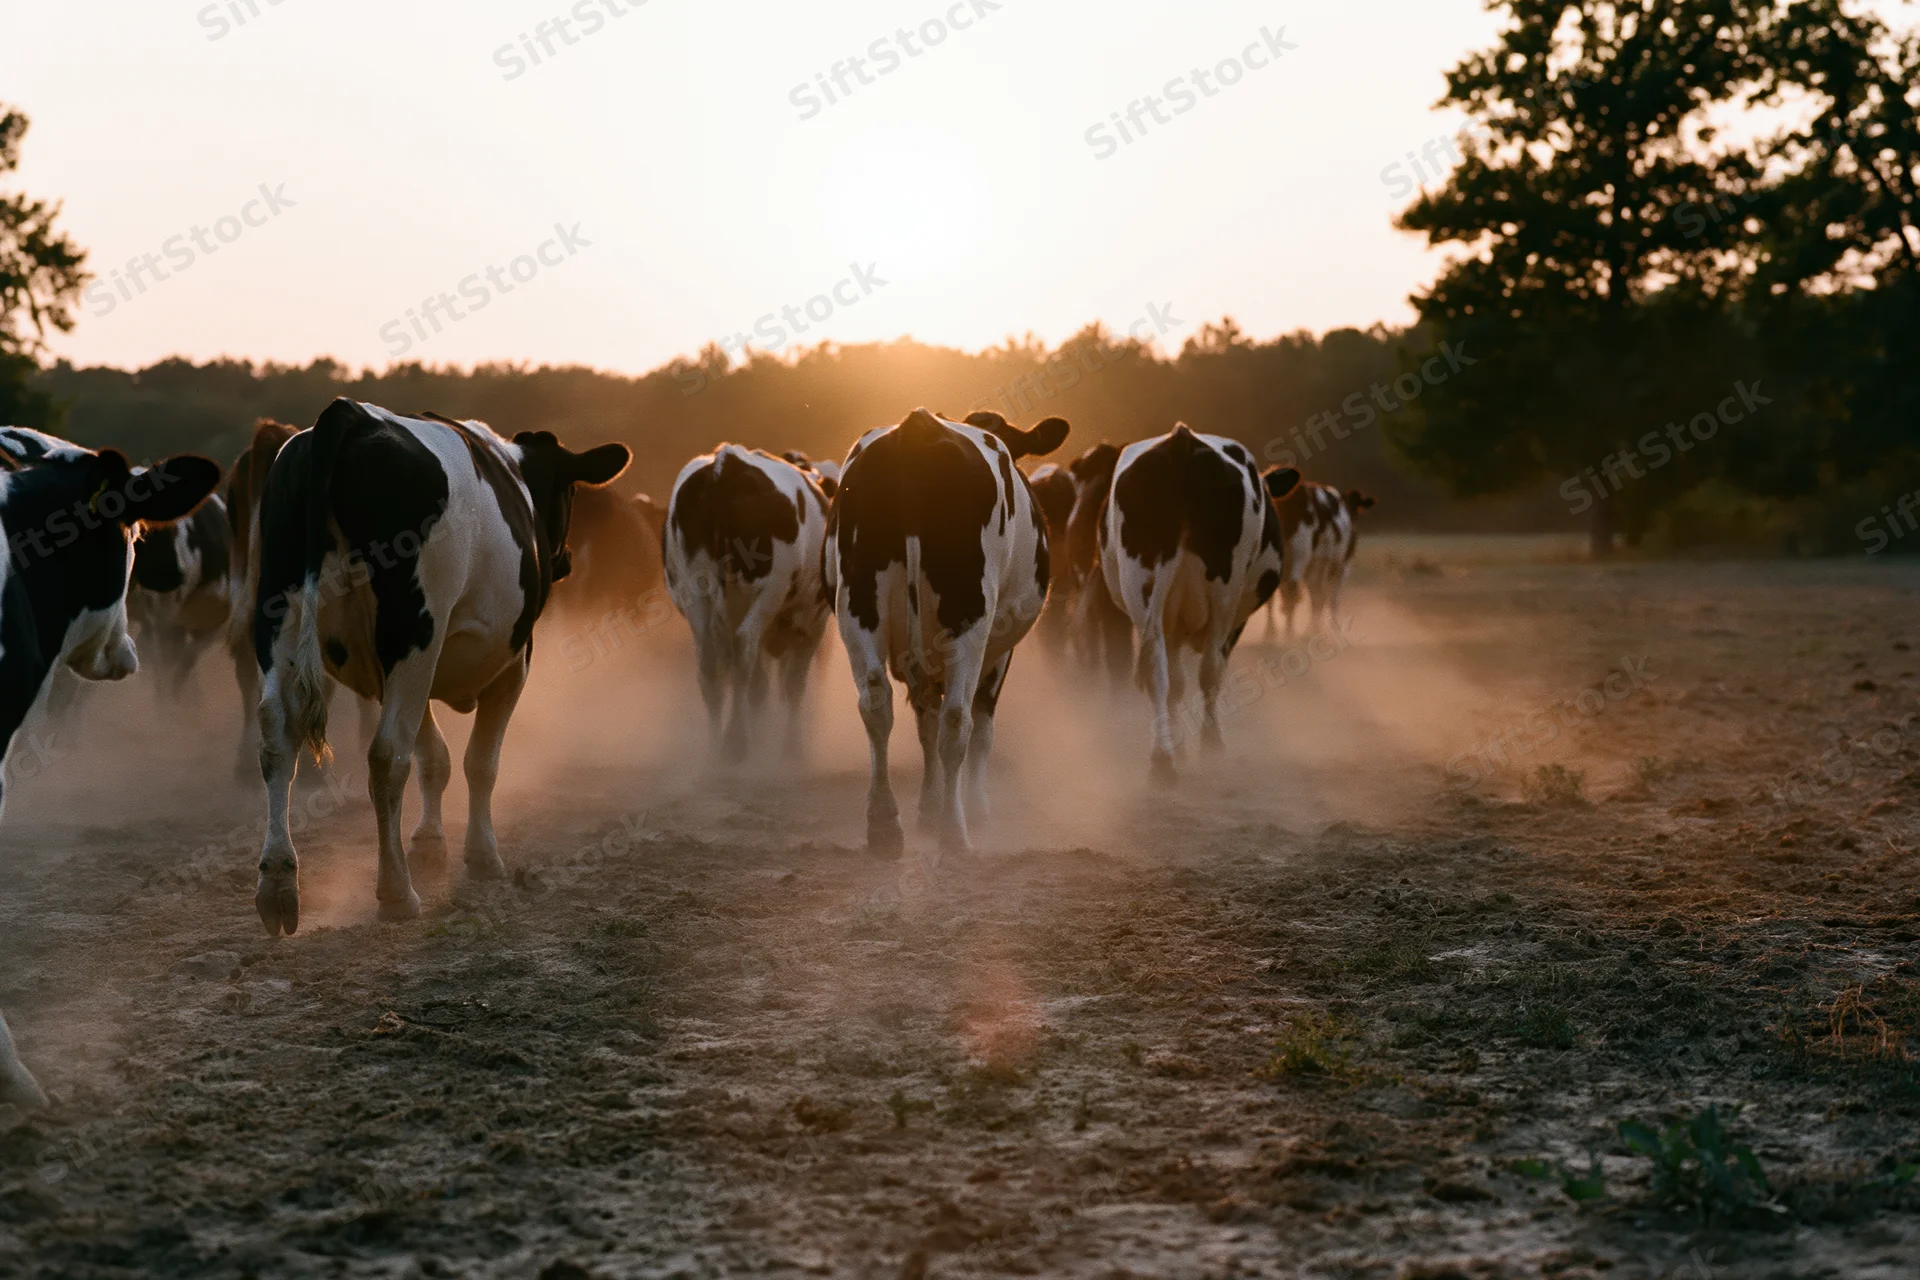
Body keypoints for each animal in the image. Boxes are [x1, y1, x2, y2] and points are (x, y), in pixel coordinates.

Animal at [249, 399, 628, 936]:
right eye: (569, 491)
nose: (566, 560)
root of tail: (348, 413)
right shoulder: (512, 663)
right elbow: (480, 762)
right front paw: (481, 855)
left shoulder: (398, 672)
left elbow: (435, 757)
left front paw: (429, 845)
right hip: (415, 629)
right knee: (387, 755)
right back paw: (395, 892)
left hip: (279, 616)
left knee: (278, 741)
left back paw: (279, 884)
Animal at [663, 446, 832, 761]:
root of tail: (726, 463)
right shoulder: (813, 618)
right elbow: (793, 683)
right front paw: (792, 747)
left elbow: (761, 686)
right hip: (768, 593)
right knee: (743, 648)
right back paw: (736, 742)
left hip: (696, 596)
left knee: (709, 666)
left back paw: (715, 746)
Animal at [828, 408, 1068, 856]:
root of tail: (917, 429)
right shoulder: (997, 651)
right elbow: (979, 726)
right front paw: (971, 809)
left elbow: (925, 725)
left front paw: (927, 806)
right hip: (968, 615)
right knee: (958, 720)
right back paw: (955, 832)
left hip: (857, 602)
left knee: (876, 704)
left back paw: (884, 826)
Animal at [1098, 424, 1298, 780]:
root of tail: (1182, 440)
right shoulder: (1233, 620)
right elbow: (1202, 675)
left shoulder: (1171, 622)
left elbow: (1176, 681)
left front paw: (1179, 745)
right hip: (1224, 594)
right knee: (1210, 670)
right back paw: (1209, 744)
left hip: (1144, 586)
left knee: (1157, 670)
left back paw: (1162, 757)